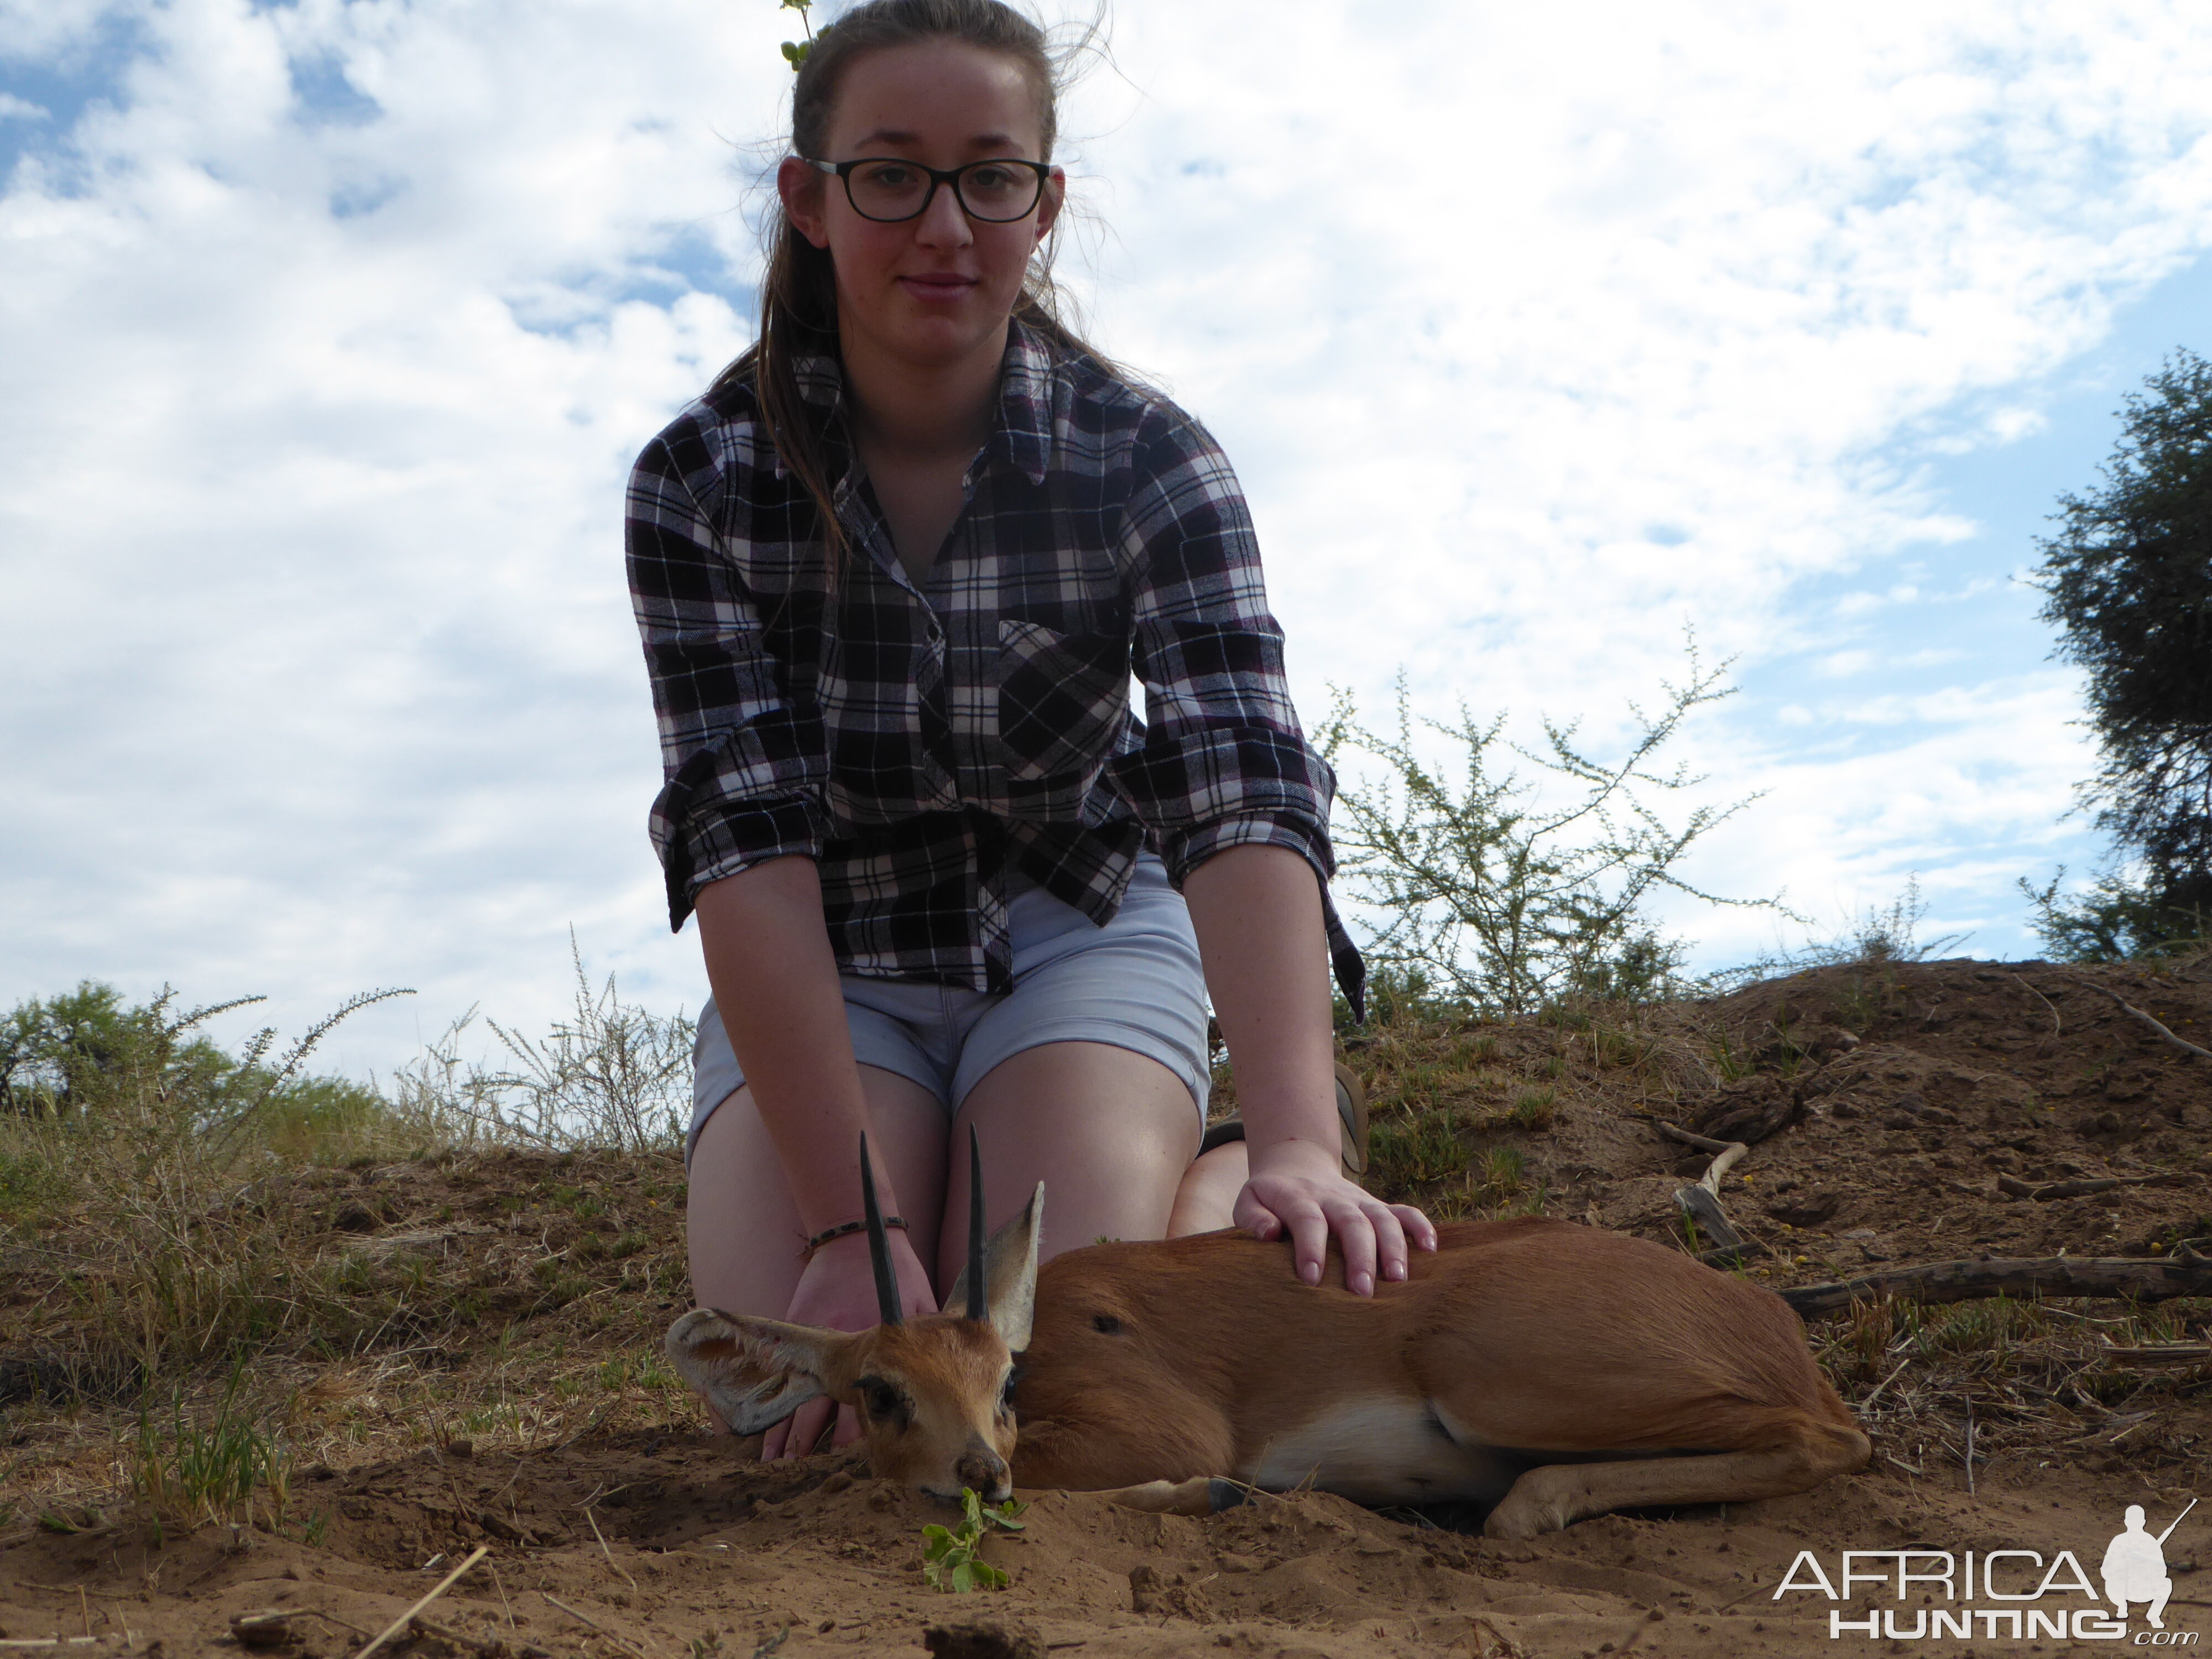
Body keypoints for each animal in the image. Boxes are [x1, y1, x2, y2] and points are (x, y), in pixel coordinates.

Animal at [668, 1141, 1867, 1540]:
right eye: (878, 1392)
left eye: (1004, 1376)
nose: (976, 1469)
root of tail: (1766, 1321)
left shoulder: (1152, 1428)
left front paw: (1213, 1494)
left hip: (1505, 1382)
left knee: (1831, 1441)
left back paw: (1516, 1510)